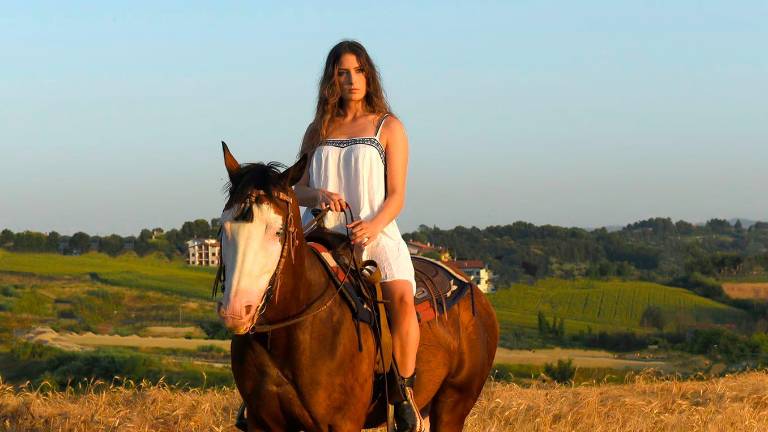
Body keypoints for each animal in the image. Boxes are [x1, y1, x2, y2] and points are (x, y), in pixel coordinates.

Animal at [214, 143, 499, 431]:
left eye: (278, 232)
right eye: (224, 228)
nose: (236, 311)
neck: (289, 330)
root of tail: (474, 290)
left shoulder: (343, 422)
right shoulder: (262, 422)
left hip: (454, 404)